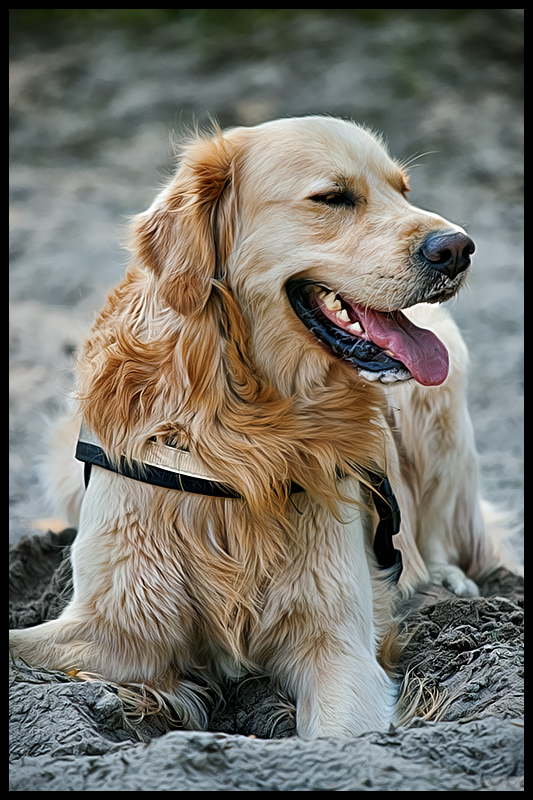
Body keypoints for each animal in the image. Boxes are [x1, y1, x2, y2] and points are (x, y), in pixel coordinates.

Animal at [9, 117, 508, 736]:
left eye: (403, 191)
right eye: (334, 197)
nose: (458, 247)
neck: (247, 426)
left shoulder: (338, 645)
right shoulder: (115, 623)